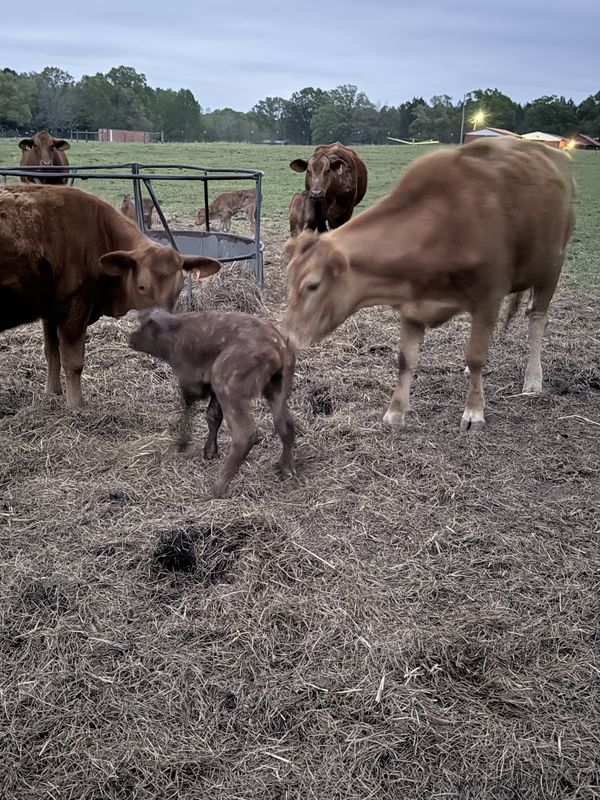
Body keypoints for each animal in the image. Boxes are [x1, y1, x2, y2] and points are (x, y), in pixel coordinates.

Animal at [0, 184, 221, 407]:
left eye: (179, 288)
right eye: (142, 287)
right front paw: (76, 405)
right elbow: (73, 362)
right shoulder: (74, 310)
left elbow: (51, 352)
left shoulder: (50, 310)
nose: (163, 324)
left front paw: (52, 393)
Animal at [129, 308, 296, 498]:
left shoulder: (189, 379)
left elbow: (189, 407)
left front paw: (182, 443)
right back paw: (286, 469)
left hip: (229, 387)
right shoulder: (210, 388)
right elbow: (213, 416)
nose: (131, 339)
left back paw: (218, 488)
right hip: (277, 387)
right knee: (285, 425)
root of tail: (278, 348)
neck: (175, 332)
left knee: (244, 434)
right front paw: (209, 451)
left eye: (141, 323)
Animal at [282, 138, 575, 432]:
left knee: (536, 319)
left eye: (312, 285)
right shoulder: (412, 304)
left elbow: (476, 355)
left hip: (550, 269)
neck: (441, 223)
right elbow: (406, 359)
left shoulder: (488, 298)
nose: (286, 337)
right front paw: (395, 412)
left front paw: (473, 411)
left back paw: (533, 379)